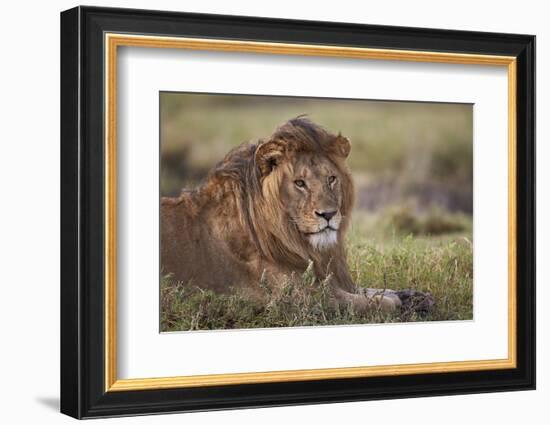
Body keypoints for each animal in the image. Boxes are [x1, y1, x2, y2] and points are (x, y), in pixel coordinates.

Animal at [161, 117, 436, 314]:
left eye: (331, 178)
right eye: (300, 183)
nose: (328, 214)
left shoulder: (330, 278)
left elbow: (374, 290)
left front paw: (416, 296)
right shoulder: (298, 297)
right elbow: (368, 302)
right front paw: (395, 303)